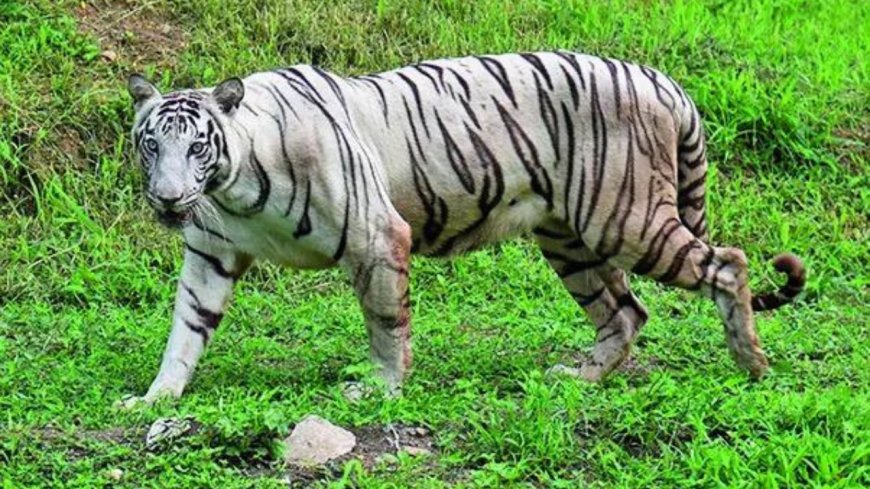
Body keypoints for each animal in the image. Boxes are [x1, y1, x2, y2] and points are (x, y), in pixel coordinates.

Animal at [121, 51, 805, 407]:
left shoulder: (377, 237)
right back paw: (581, 379)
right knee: (626, 312)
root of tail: (661, 79)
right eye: (151, 144)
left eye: (197, 146)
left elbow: (385, 322)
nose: (167, 198)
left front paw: (382, 388)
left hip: (625, 220)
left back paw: (751, 364)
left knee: (728, 263)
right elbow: (185, 332)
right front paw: (157, 398)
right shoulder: (209, 256)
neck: (232, 189)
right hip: (569, 239)